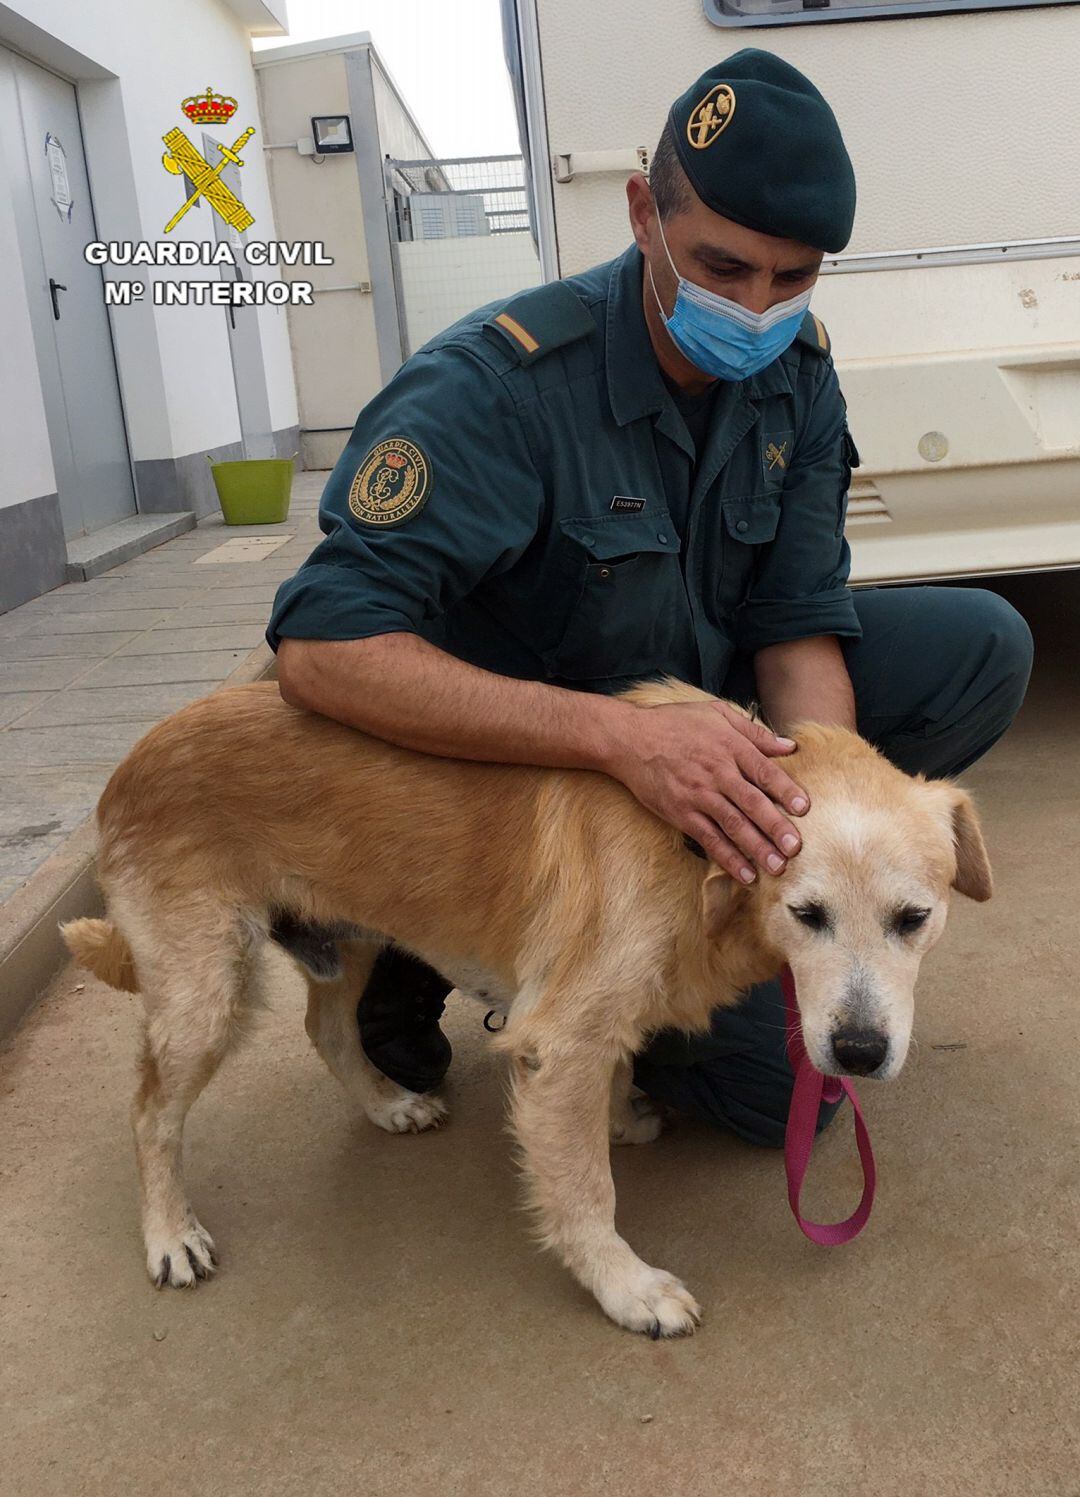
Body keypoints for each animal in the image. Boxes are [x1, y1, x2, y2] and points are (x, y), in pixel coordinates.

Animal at [56, 679, 988, 1335]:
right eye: (807, 914)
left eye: (914, 918)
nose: (859, 1054)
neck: (694, 855)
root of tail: (129, 762)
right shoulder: (564, 1035)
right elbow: (584, 1188)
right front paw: (624, 1286)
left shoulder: (595, 1023)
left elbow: (605, 1090)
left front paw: (620, 1117)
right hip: (205, 991)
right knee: (150, 1112)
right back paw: (169, 1234)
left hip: (348, 936)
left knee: (325, 1027)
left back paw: (387, 1104)